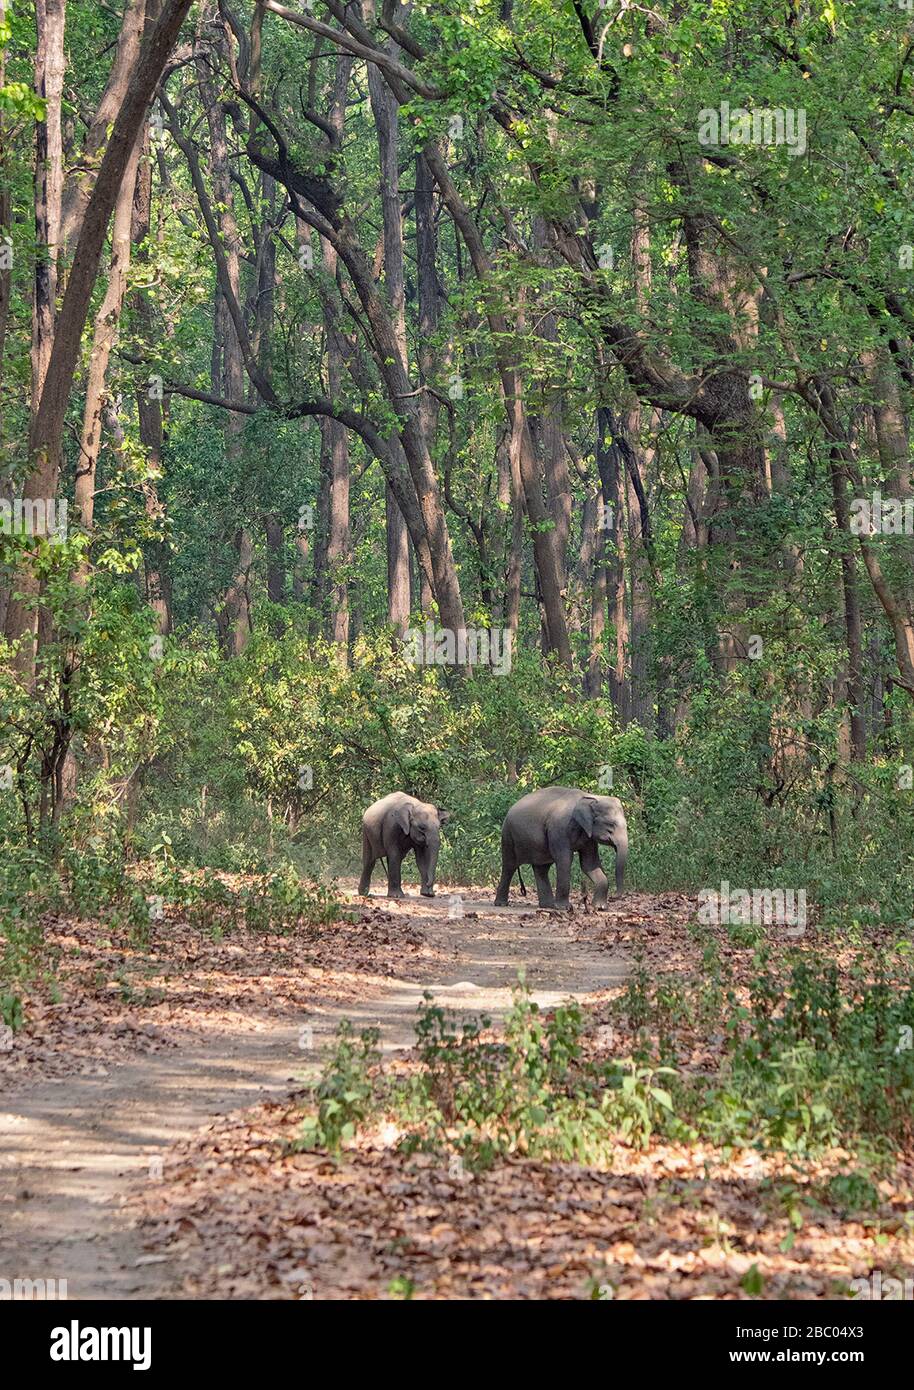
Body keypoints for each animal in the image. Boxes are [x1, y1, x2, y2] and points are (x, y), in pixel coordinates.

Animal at [491, 789, 627, 906]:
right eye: (610, 826)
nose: (613, 897)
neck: (589, 797)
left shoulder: (589, 838)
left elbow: (589, 863)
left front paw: (600, 907)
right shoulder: (559, 829)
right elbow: (565, 860)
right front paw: (564, 907)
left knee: (541, 869)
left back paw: (548, 906)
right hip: (508, 837)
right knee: (509, 866)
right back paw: (501, 903)